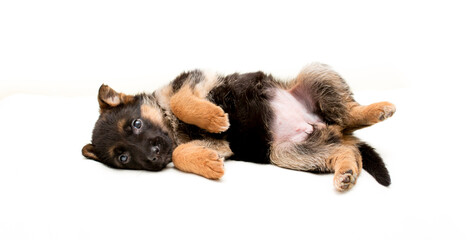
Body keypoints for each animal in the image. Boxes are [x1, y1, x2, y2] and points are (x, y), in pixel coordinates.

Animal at [82, 63, 394, 191]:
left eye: (136, 124)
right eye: (123, 157)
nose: (154, 156)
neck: (170, 125)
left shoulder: (195, 79)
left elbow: (182, 101)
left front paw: (213, 118)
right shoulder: (220, 145)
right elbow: (181, 154)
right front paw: (208, 164)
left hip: (315, 74)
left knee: (349, 112)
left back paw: (376, 110)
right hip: (290, 152)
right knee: (347, 151)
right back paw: (346, 172)